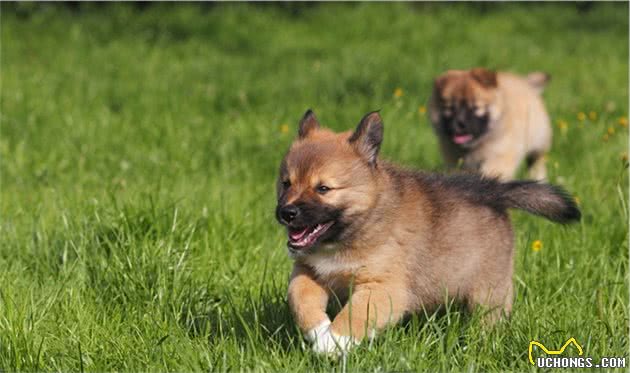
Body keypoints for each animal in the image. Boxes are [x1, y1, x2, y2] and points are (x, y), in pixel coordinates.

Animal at [276, 109, 584, 354]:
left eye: (323, 188)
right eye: (286, 183)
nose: (286, 213)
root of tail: (493, 192)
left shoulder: (384, 287)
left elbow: (355, 315)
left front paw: (334, 342)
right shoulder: (309, 270)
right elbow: (300, 299)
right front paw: (319, 332)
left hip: (488, 291)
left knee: (489, 318)